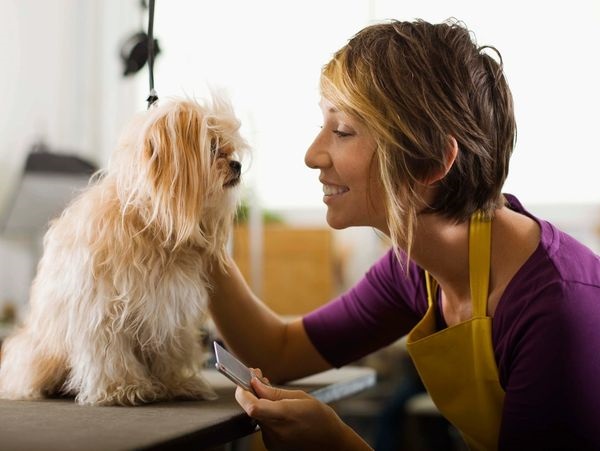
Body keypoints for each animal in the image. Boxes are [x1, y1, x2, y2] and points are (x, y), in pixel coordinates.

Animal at [0, 95, 247, 406]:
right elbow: (111, 354)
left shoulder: (169, 308)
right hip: (41, 353)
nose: (237, 165)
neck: (151, 227)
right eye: (213, 148)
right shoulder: (102, 310)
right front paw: (124, 388)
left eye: (230, 148)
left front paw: (177, 383)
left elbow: (170, 349)